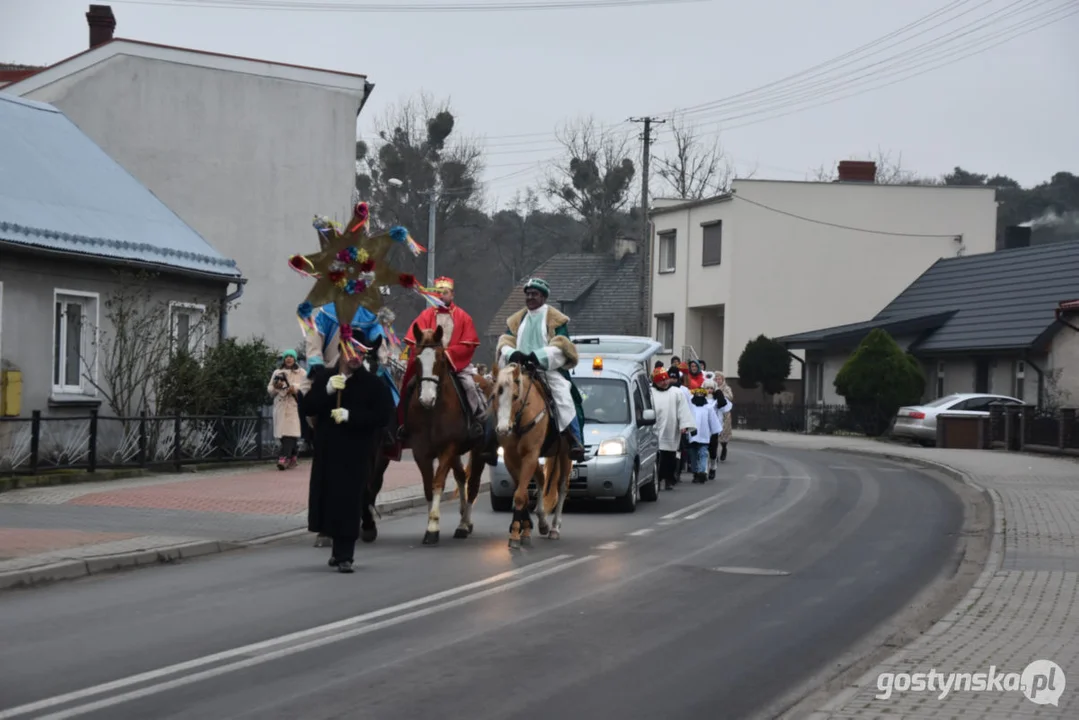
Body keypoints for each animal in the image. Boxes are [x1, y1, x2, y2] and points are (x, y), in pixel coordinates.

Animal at [405, 323, 489, 544]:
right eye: (417, 358)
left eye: (441, 359)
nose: (427, 398)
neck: (432, 412)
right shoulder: (421, 452)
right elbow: (428, 486)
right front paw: (430, 521)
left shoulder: (447, 448)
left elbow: (438, 482)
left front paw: (433, 526)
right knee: (461, 477)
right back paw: (464, 518)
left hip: (477, 451)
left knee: (473, 484)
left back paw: (463, 524)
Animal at [492, 362, 574, 548]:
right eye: (494, 396)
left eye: (515, 396)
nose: (503, 429)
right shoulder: (510, 458)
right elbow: (520, 493)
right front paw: (524, 529)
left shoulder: (529, 455)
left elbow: (520, 496)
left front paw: (516, 535)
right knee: (542, 480)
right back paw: (542, 521)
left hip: (564, 454)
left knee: (562, 487)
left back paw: (554, 528)